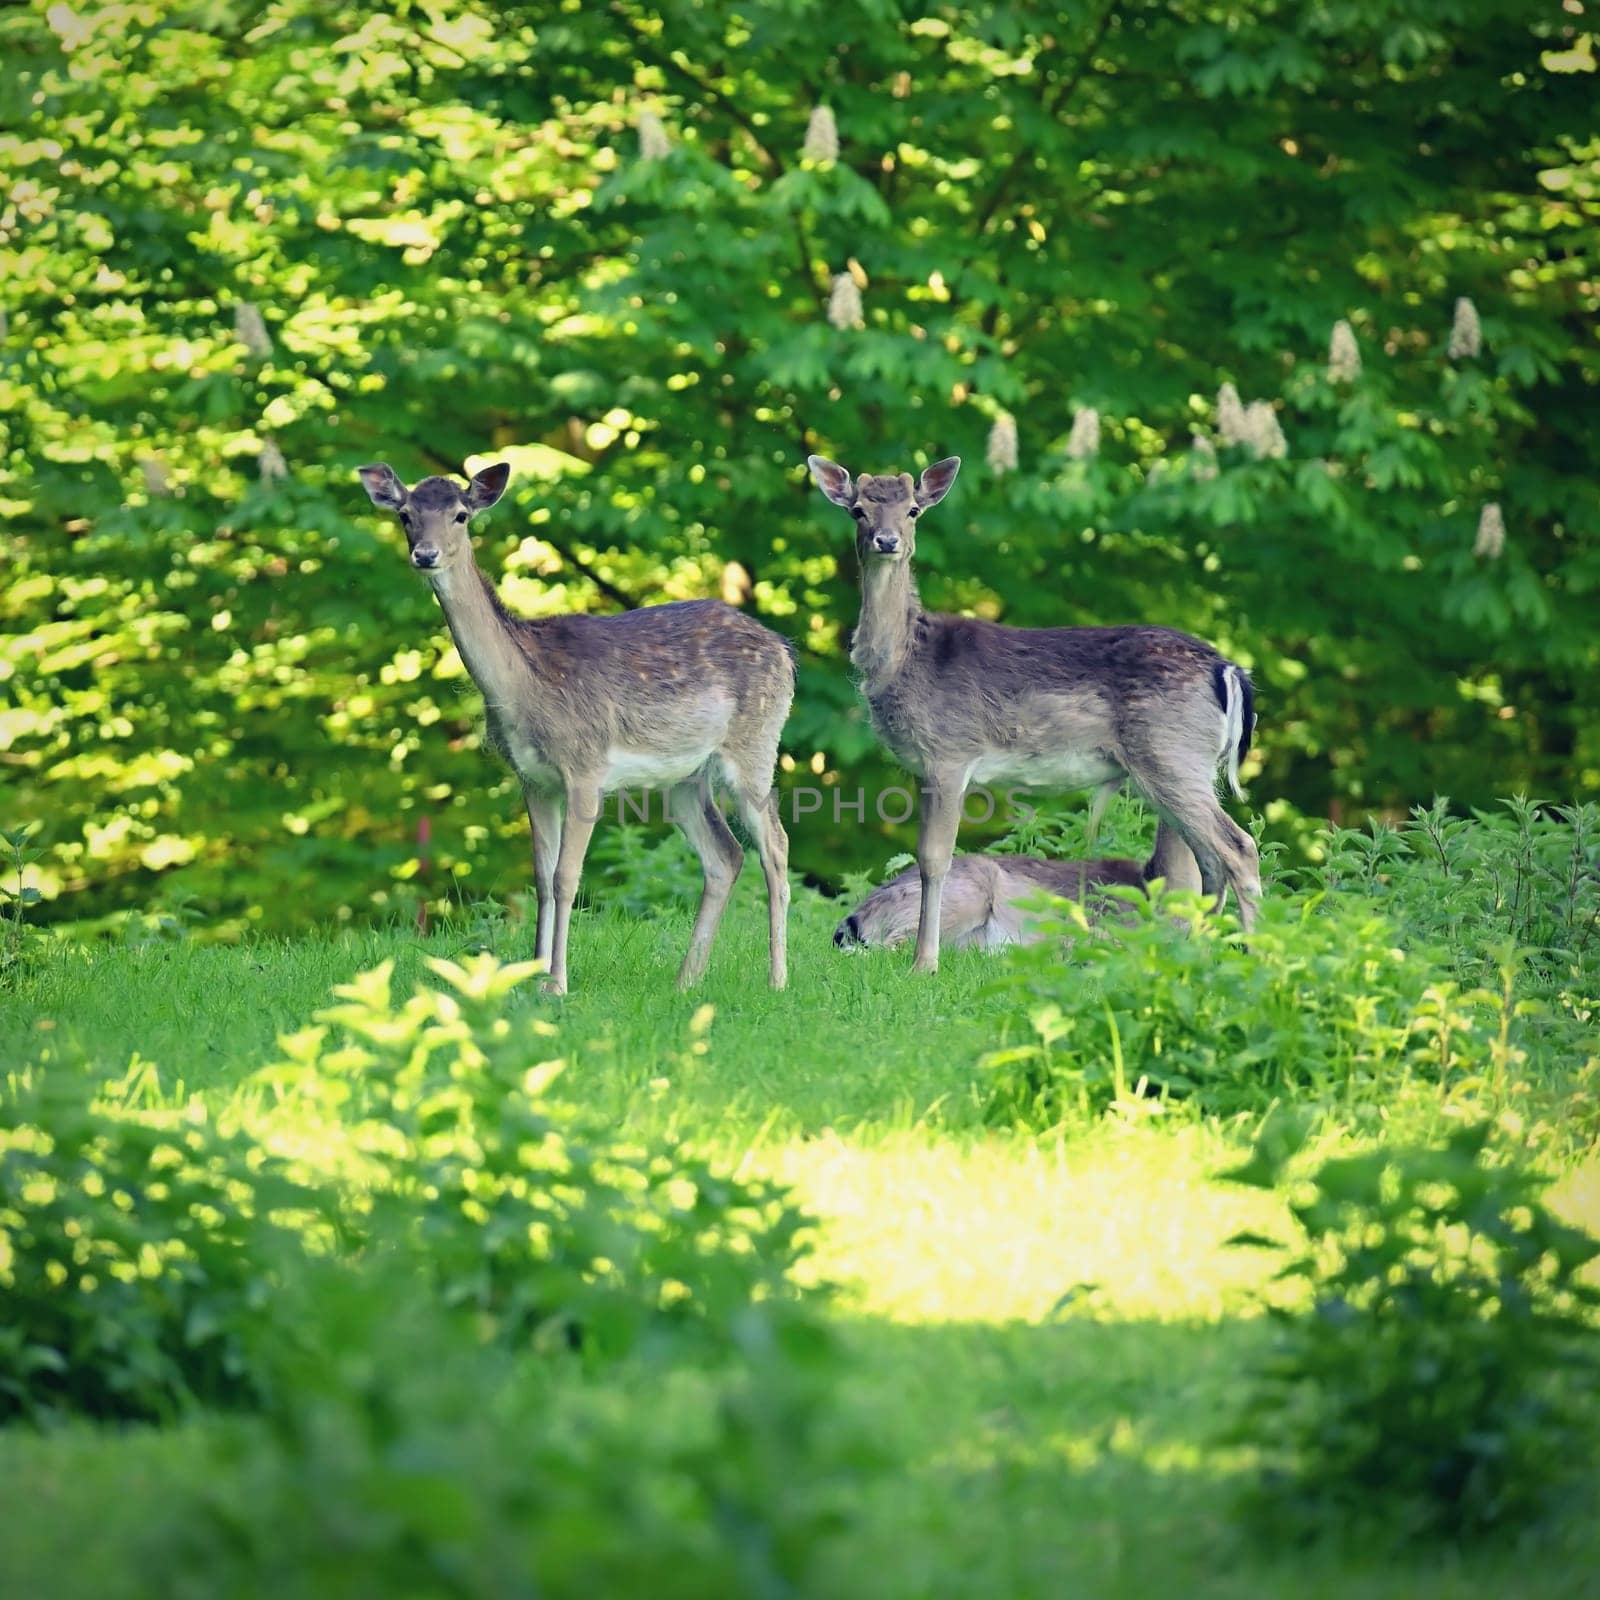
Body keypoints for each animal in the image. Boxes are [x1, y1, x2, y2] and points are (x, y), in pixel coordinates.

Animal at [356, 457, 793, 992]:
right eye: (405, 515)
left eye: (461, 514)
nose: (425, 554)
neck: (525, 689)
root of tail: (784, 651)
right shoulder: (532, 779)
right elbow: (542, 878)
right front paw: (531, 976)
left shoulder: (585, 768)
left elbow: (567, 878)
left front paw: (557, 983)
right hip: (684, 779)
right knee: (725, 855)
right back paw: (685, 981)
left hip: (756, 743)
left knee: (774, 845)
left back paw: (777, 979)